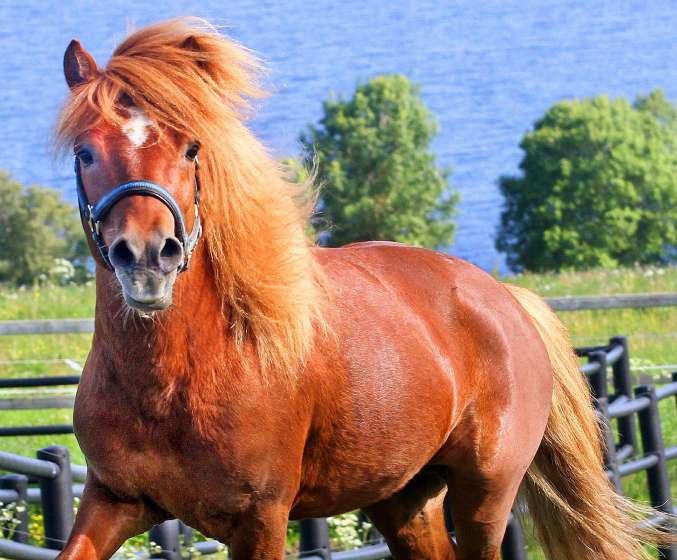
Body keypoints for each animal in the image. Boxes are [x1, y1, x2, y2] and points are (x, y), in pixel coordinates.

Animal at [56, 17, 664, 560]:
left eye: (190, 149)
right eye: (85, 152)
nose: (147, 258)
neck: (181, 378)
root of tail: (505, 299)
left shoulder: (260, 520)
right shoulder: (113, 500)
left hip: (485, 498)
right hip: (404, 499)